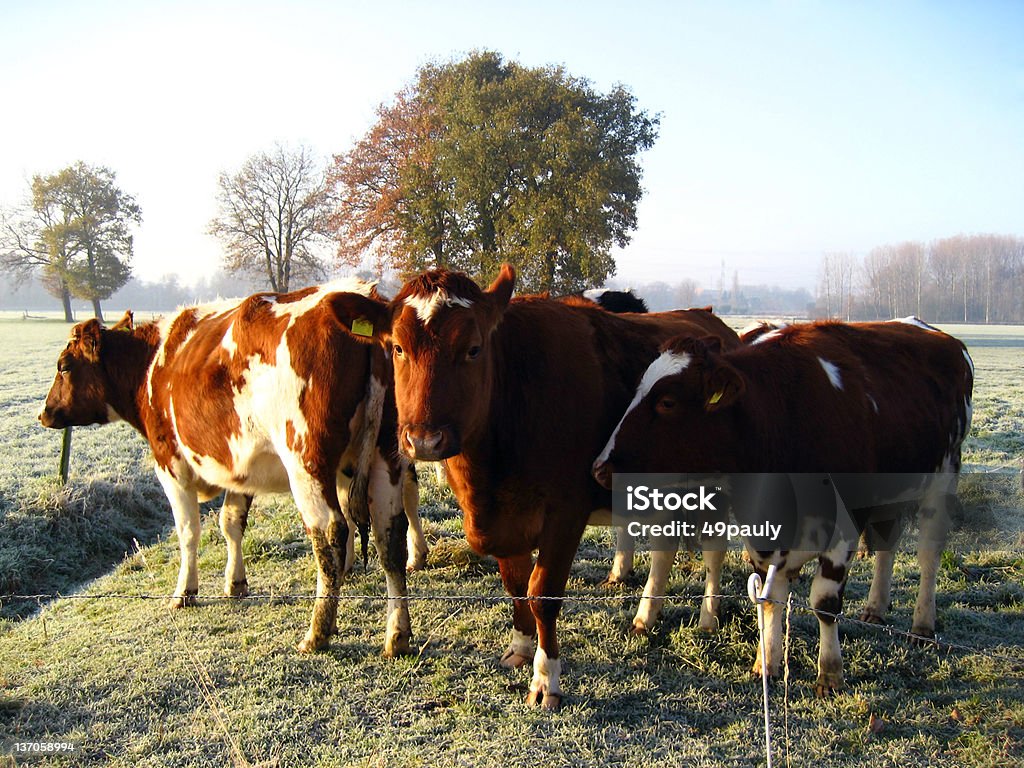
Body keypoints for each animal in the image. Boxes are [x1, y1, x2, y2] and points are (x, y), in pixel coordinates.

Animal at [327, 264, 737, 708]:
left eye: (473, 349)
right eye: (398, 348)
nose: (424, 440)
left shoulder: (565, 513)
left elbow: (542, 592)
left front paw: (545, 678)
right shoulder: (499, 518)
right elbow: (516, 584)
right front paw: (521, 648)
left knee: (714, 549)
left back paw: (708, 617)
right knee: (664, 546)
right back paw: (646, 616)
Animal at [589, 319, 970, 696]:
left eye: (667, 402)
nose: (601, 468)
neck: (782, 418)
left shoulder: (844, 527)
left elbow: (825, 603)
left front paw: (829, 673)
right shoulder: (761, 529)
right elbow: (770, 596)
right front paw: (766, 662)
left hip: (943, 480)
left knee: (928, 556)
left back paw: (923, 623)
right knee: (886, 544)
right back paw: (875, 608)